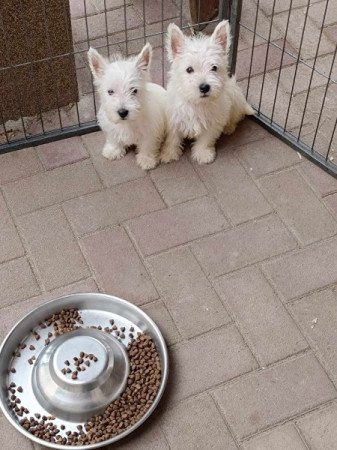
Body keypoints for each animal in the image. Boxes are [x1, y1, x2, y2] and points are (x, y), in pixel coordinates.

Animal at [160, 20, 252, 165]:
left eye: (214, 67)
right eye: (189, 69)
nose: (204, 87)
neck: (197, 103)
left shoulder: (213, 123)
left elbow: (205, 139)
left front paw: (202, 154)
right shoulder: (174, 119)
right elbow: (172, 138)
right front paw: (168, 153)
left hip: (235, 97)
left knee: (236, 116)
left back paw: (229, 127)